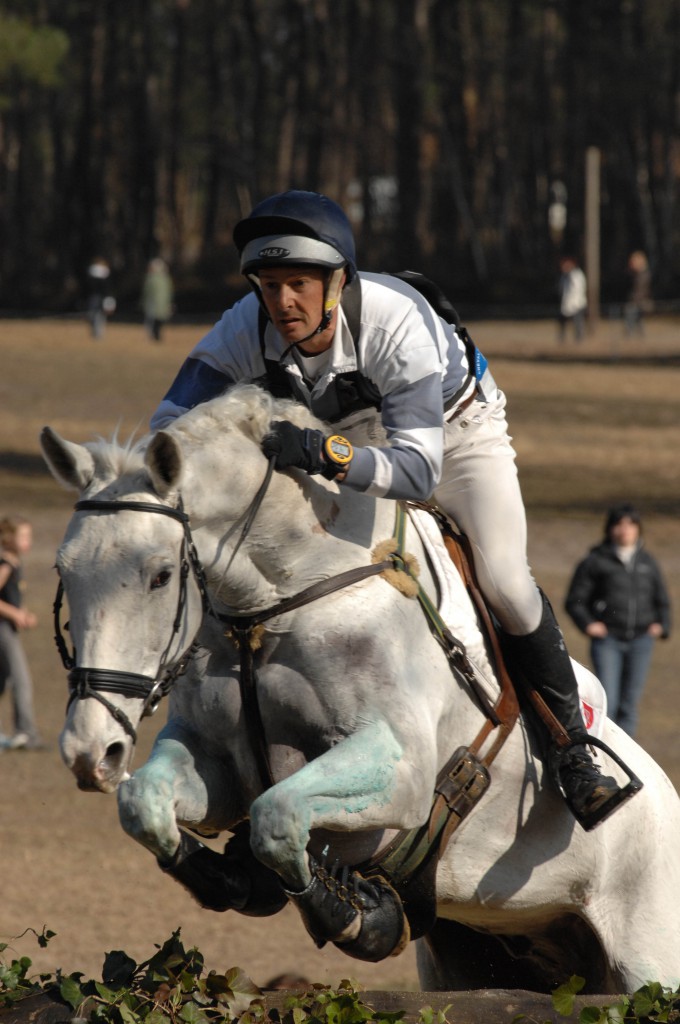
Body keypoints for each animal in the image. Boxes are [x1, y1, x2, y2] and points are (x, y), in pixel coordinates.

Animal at [41, 385, 680, 991]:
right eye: (64, 571)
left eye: (161, 575)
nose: (89, 752)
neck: (281, 597)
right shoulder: (217, 762)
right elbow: (144, 804)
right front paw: (228, 878)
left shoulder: (402, 768)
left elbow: (277, 815)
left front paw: (352, 914)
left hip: (647, 958)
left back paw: (587, 782)